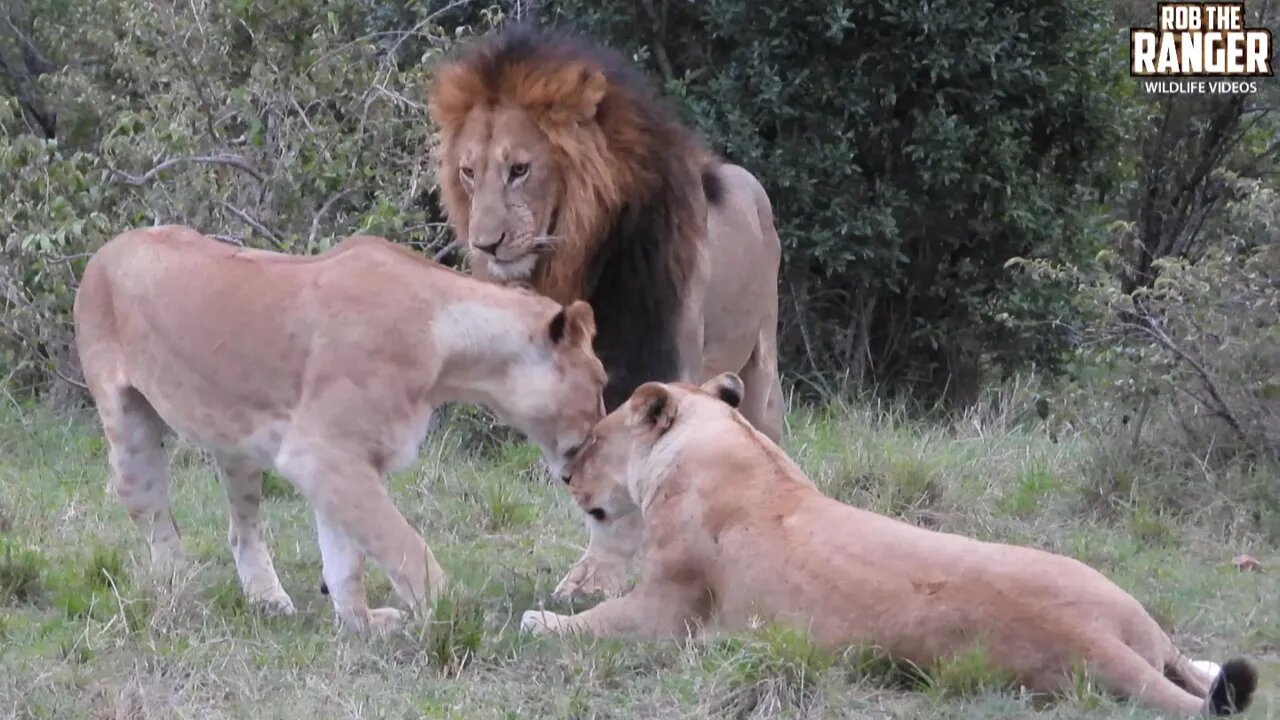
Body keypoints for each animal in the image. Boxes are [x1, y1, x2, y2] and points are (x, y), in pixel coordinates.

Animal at [73, 222, 604, 627]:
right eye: (599, 382)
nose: (598, 437)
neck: (452, 350)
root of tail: (108, 247)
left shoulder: (340, 460)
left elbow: (345, 558)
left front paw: (363, 623)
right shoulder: (322, 450)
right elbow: (401, 543)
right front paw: (454, 612)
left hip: (238, 445)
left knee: (242, 529)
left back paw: (269, 599)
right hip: (130, 432)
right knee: (154, 518)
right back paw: (176, 593)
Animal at [432, 20, 778, 594]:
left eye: (519, 169)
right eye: (467, 173)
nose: (485, 245)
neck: (581, 257)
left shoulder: (660, 359)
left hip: (762, 357)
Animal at [522, 376, 1259, 712]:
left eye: (591, 441)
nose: (565, 475)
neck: (723, 442)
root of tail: (1095, 637)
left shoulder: (668, 612)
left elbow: (587, 623)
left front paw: (538, 619)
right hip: (1130, 613)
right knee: (1190, 667)